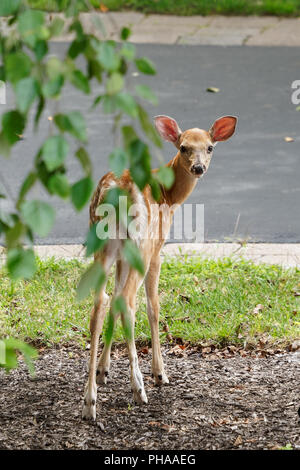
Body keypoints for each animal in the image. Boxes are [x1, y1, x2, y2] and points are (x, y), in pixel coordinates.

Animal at [82, 115, 237, 420]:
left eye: (210, 147)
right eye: (184, 147)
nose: (198, 167)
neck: (169, 196)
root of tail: (116, 193)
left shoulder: (121, 256)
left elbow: (112, 306)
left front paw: (104, 370)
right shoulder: (156, 250)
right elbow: (154, 306)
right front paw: (159, 373)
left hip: (103, 244)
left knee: (102, 301)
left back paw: (89, 402)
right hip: (141, 244)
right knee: (128, 300)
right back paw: (139, 388)